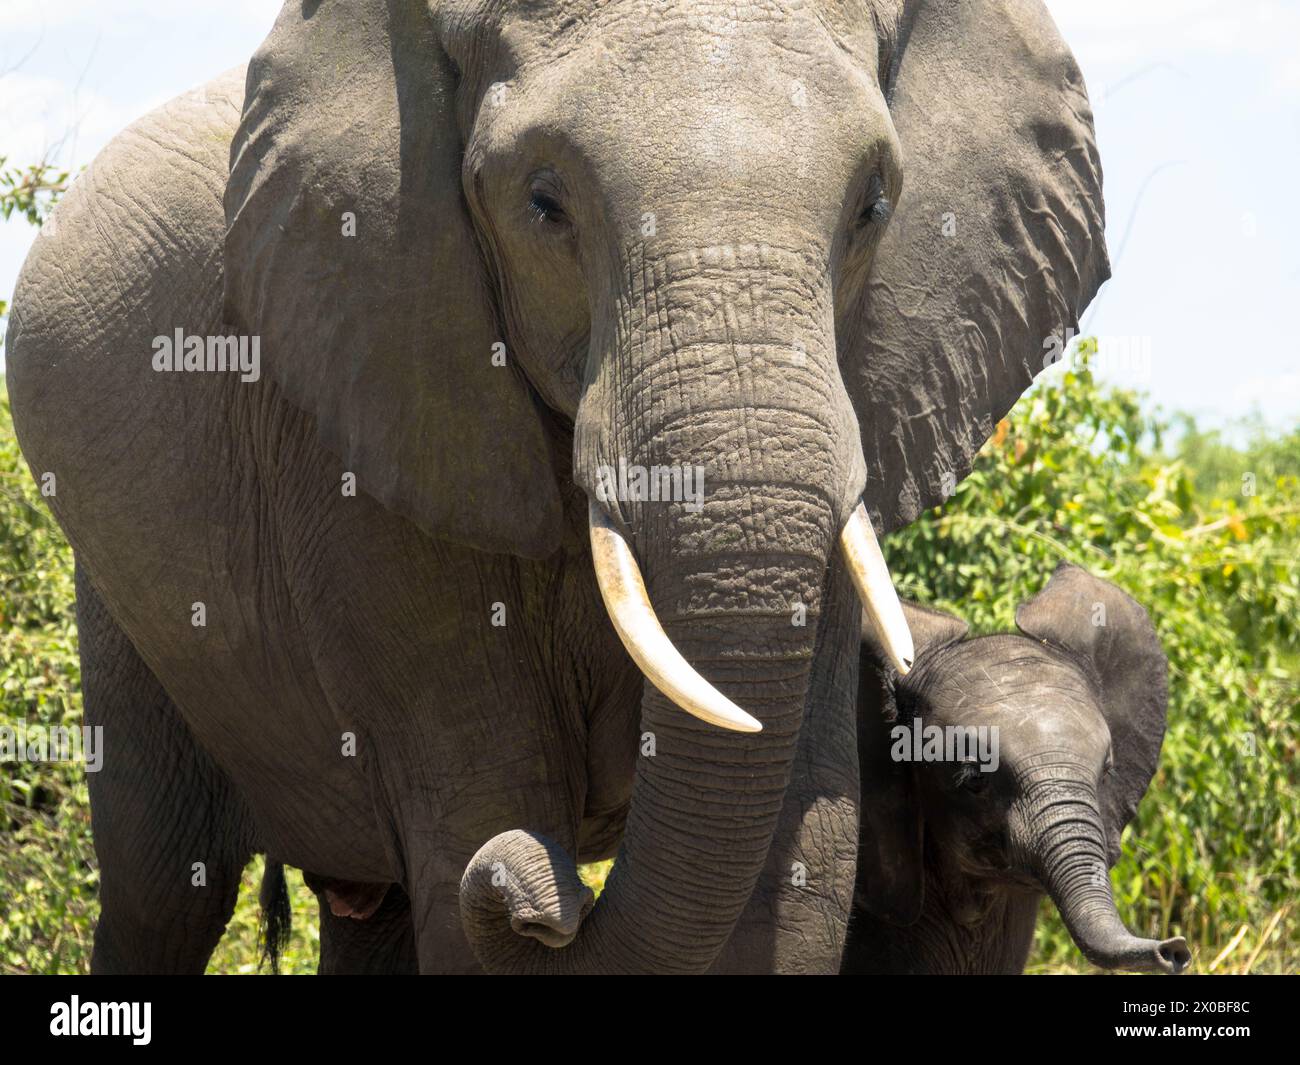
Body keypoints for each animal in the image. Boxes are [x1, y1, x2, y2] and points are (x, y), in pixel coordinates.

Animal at [7, 0, 1107, 977]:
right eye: (543, 203)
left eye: (873, 205)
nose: (544, 903)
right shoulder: (367, 401)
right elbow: (480, 809)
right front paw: (506, 850)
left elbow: (799, 867)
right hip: (123, 601)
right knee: (164, 888)